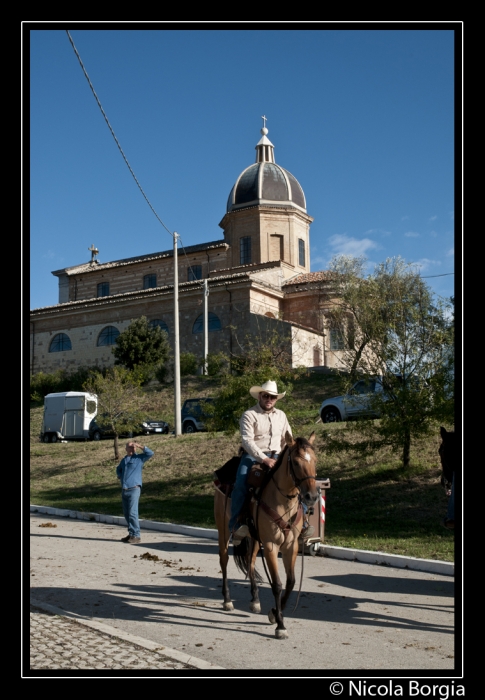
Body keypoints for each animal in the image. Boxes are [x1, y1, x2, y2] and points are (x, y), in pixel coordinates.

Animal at [212, 430, 318, 636]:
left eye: (315, 460)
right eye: (295, 462)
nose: (312, 496)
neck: (282, 501)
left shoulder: (290, 546)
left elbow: (291, 582)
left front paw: (274, 613)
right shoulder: (270, 545)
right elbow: (277, 584)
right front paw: (280, 625)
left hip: (253, 538)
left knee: (251, 562)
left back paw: (255, 600)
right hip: (223, 530)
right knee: (224, 560)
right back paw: (227, 600)